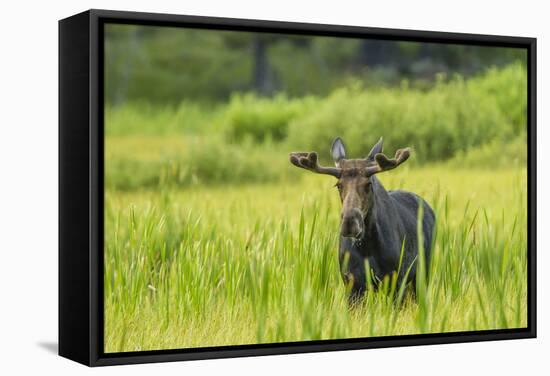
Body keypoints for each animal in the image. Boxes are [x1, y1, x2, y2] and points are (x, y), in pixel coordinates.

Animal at [292, 137, 438, 304]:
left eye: (368, 184)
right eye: (338, 185)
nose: (350, 223)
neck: (368, 246)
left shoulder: (395, 281)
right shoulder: (352, 285)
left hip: (421, 273)